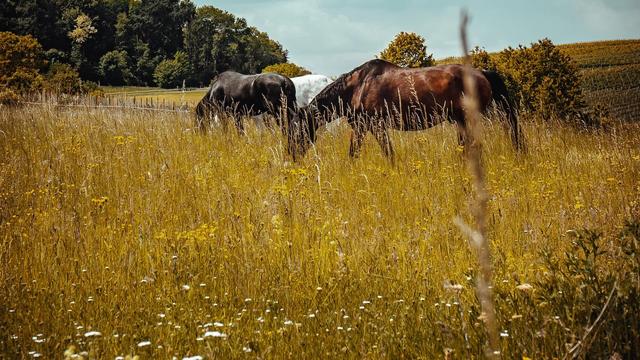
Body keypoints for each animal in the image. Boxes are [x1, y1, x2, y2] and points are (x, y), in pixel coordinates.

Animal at [292, 58, 524, 160]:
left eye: (297, 131)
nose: (292, 156)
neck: (358, 86)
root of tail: (482, 73)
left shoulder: (370, 126)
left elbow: (365, 154)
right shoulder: (367, 127)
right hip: (460, 121)